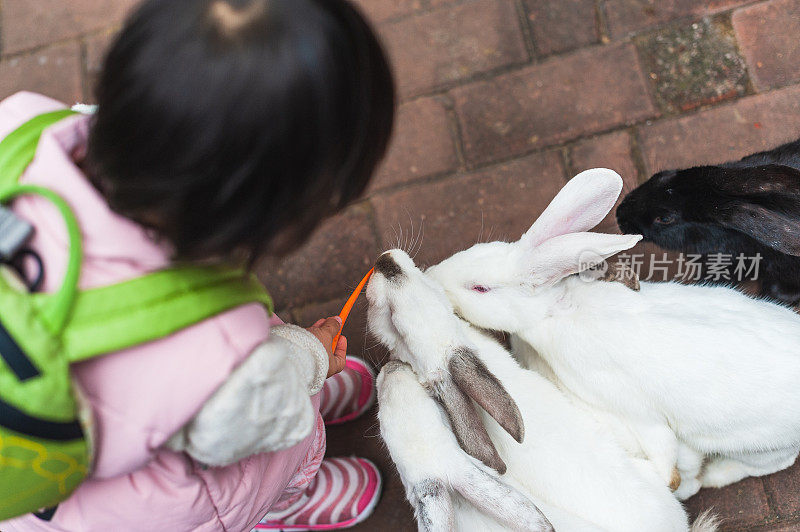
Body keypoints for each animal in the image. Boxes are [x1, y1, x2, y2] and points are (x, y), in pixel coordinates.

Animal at [428, 168, 800, 500]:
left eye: (479, 288)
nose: (433, 276)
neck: (556, 309)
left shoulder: (623, 401)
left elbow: (662, 450)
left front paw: (676, 481)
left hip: (754, 445)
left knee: (774, 462)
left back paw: (716, 476)